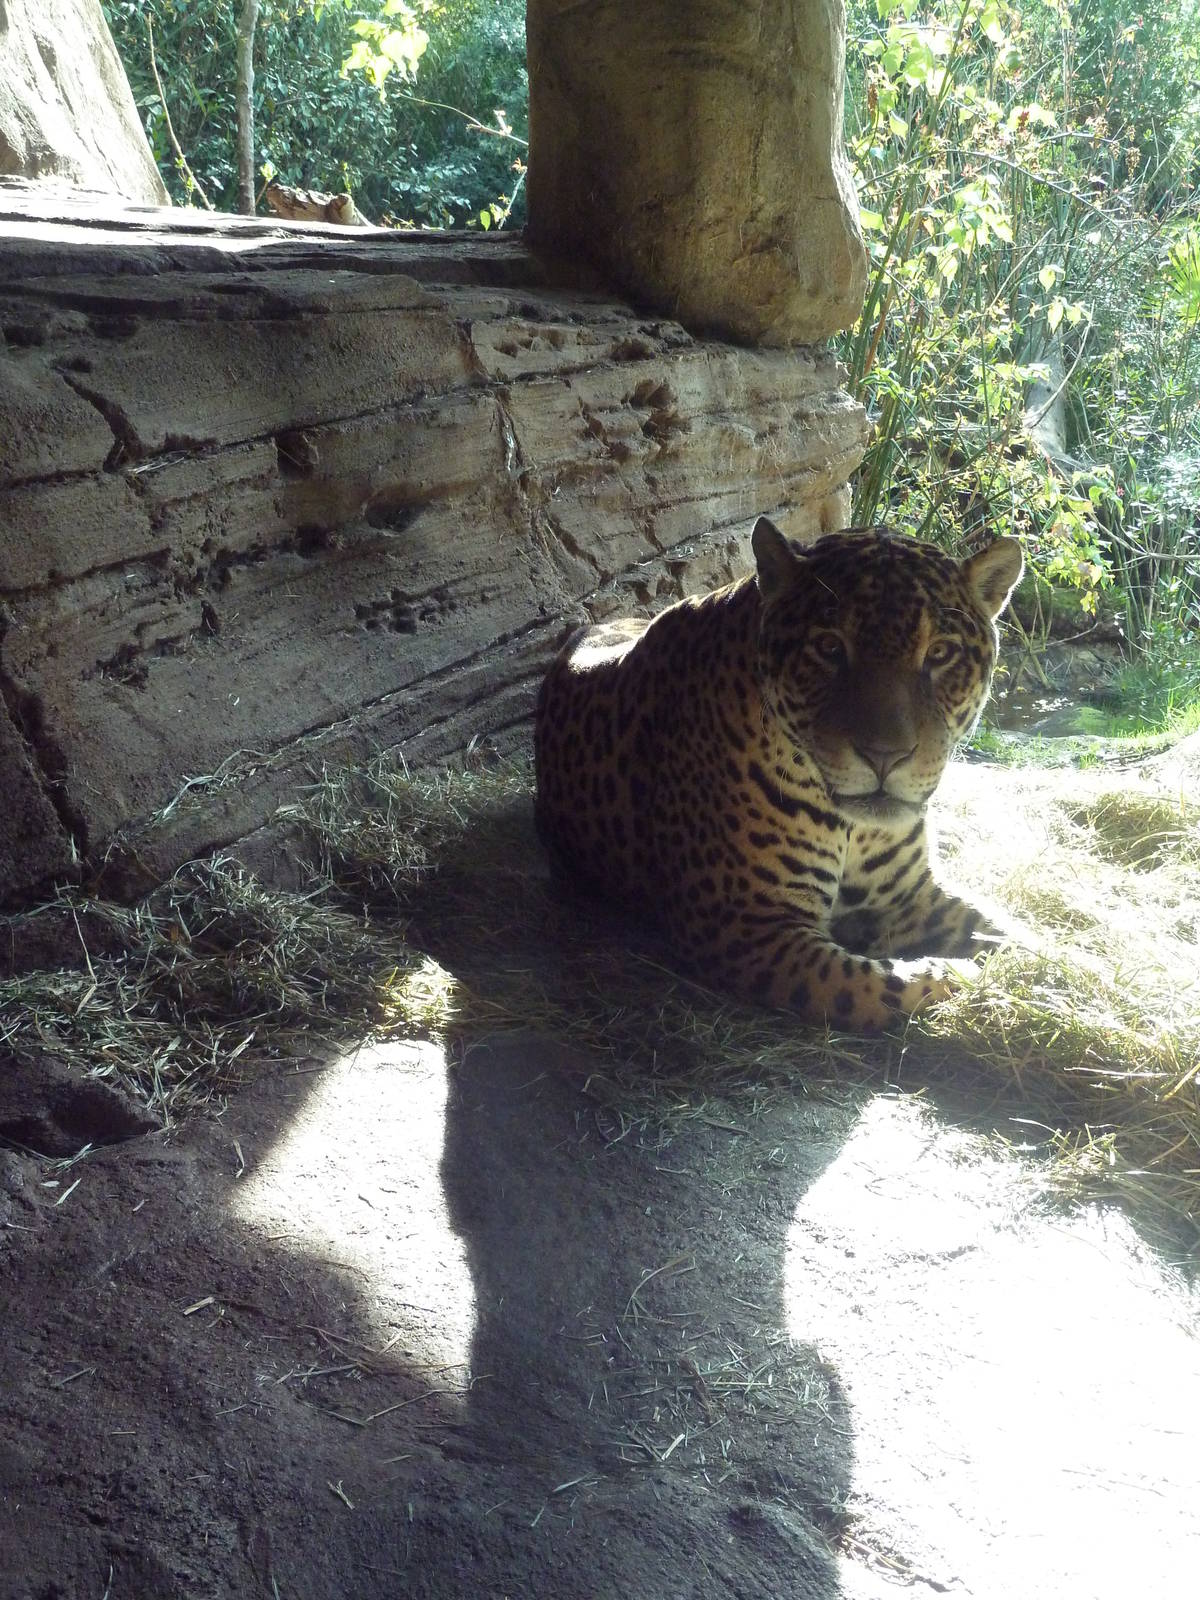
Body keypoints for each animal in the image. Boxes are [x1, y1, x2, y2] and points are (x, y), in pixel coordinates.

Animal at [534, 517, 1024, 1030]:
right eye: (829, 647)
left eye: (941, 653)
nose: (885, 756)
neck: (854, 828)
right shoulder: (747, 928)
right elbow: (879, 986)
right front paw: (958, 978)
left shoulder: (911, 896)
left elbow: (1012, 933)